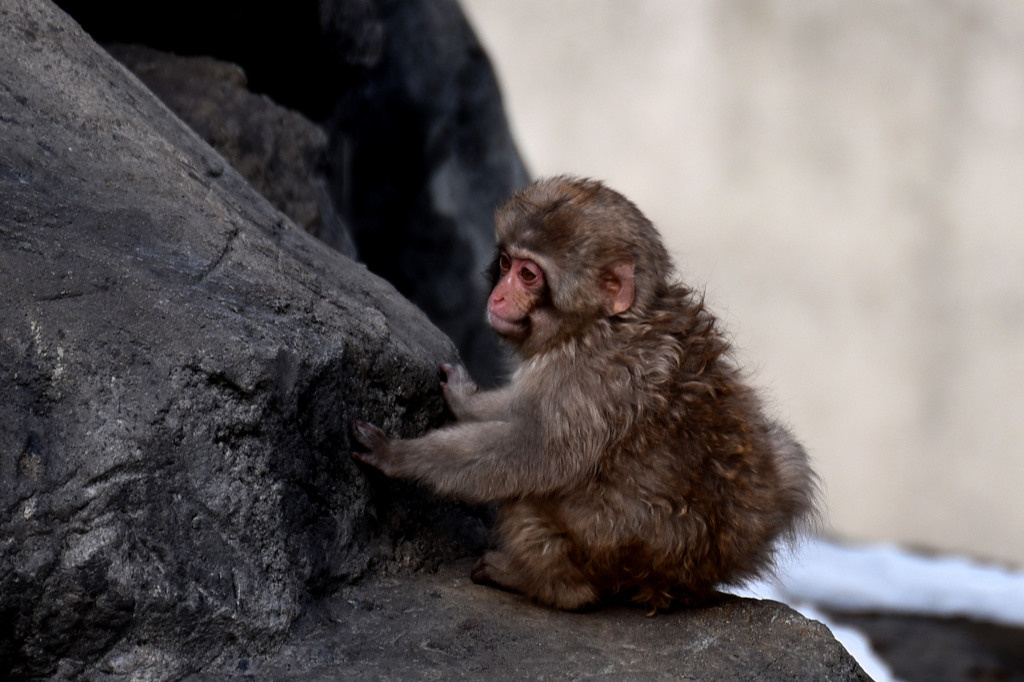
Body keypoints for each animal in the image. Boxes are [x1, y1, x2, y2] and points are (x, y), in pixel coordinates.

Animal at [352, 175, 815, 610]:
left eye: (528, 275)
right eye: (506, 263)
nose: (497, 297)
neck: (598, 325)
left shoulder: (587, 379)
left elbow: (536, 452)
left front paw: (399, 456)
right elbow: (521, 410)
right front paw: (466, 399)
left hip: (604, 556)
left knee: (531, 501)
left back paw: (543, 584)